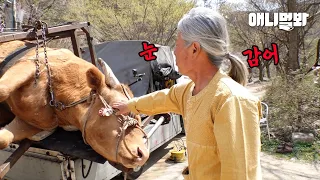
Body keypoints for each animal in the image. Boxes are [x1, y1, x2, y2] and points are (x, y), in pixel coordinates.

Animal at [0, 40, 149, 169]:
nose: (143, 154)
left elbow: (4, 139)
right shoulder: (27, 65)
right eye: (119, 108)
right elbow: (3, 90)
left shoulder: (33, 123)